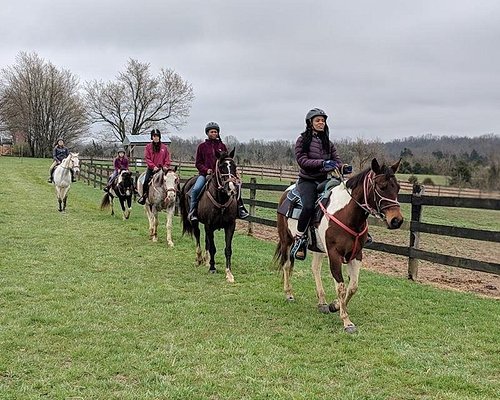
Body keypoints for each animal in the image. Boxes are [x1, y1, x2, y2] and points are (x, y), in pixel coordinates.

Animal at [180, 148, 240, 282]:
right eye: (221, 167)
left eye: (234, 166)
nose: (231, 189)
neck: (221, 200)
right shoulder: (209, 225)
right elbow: (213, 248)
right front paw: (212, 268)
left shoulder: (230, 226)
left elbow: (228, 249)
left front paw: (229, 273)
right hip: (195, 222)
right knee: (197, 235)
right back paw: (199, 258)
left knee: (206, 240)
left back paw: (206, 261)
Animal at [276, 158, 404, 332]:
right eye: (381, 186)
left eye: (397, 187)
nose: (397, 220)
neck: (347, 214)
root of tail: (287, 192)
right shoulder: (334, 254)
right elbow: (341, 287)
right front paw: (346, 321)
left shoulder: (356, 255)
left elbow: (353, 286)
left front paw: (334, 305)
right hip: (286, 240)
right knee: (287, 265)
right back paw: (289, 294)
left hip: (318, 248)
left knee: (315, 269)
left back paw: (322, 302)